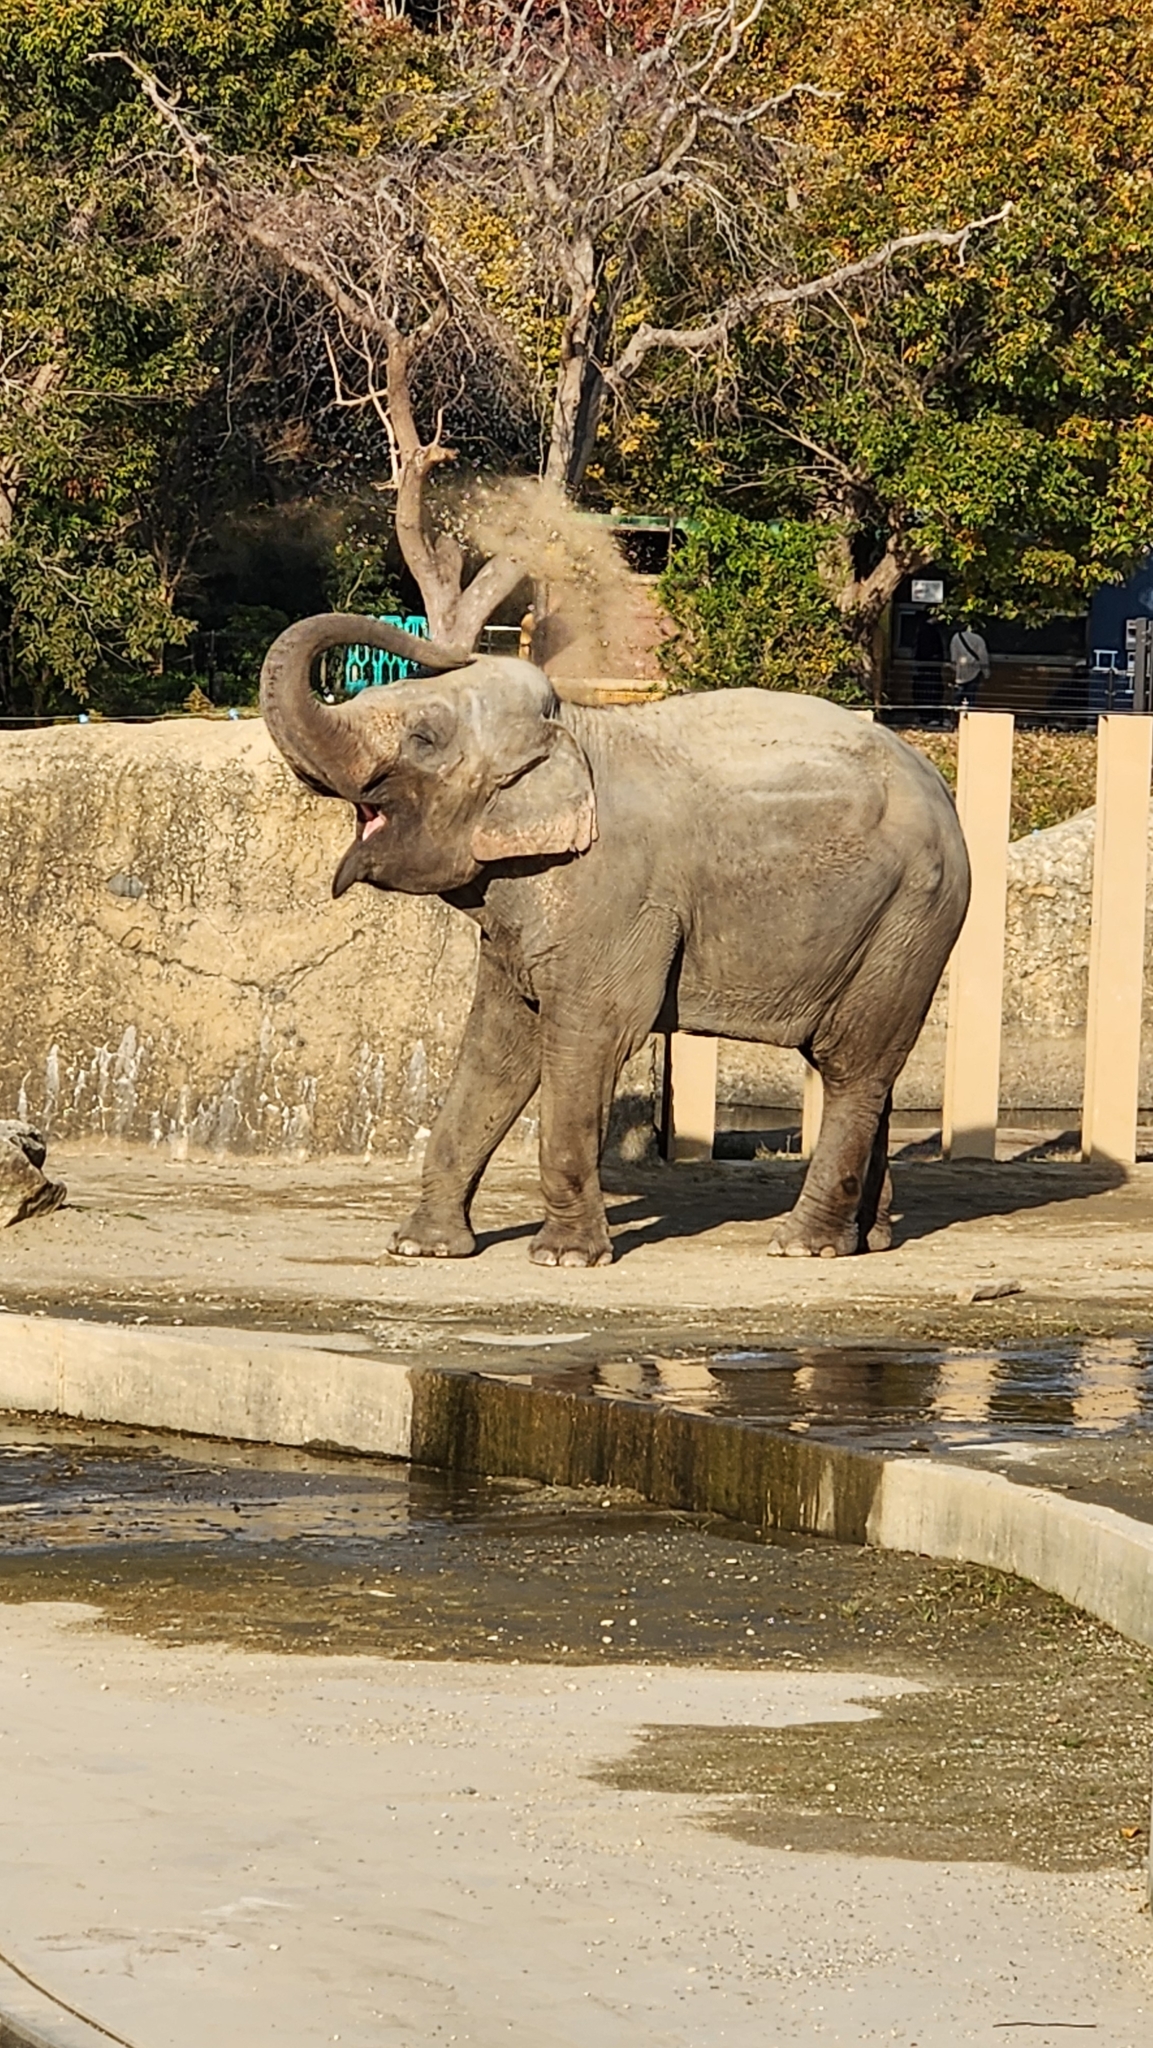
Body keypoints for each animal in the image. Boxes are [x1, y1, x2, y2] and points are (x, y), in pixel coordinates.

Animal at [260, 614, 969, 1266]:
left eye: (423, 738)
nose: (448, 646)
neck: (574, 728)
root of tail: (942, 788)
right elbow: (498, 1045)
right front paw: (422, 1248)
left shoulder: (615, 898)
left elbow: (589, 1037)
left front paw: (563, 1258)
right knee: (869, 1069)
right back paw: (869, 1239)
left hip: (913, 914)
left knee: (852, 1065)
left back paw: (804, 1245)